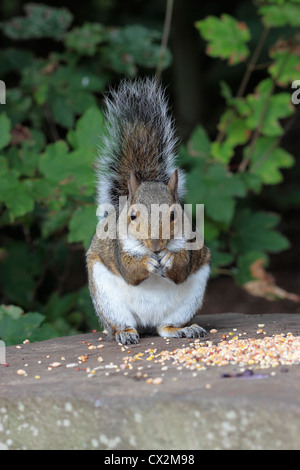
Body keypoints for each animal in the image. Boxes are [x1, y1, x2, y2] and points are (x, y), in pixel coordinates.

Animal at [85, 75, 210, 344]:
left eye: (174, 214)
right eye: (132, 216)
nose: (155, 246)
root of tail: (147, 324)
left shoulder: (190, 242)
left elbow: (183, 268)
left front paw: (170, 258)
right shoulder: (118, 246)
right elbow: (130, 270)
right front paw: (146, 262)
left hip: (188, 301)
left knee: (166, 327)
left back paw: (184, 329)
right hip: (109, 302)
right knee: (122, 324)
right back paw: (125, 334)